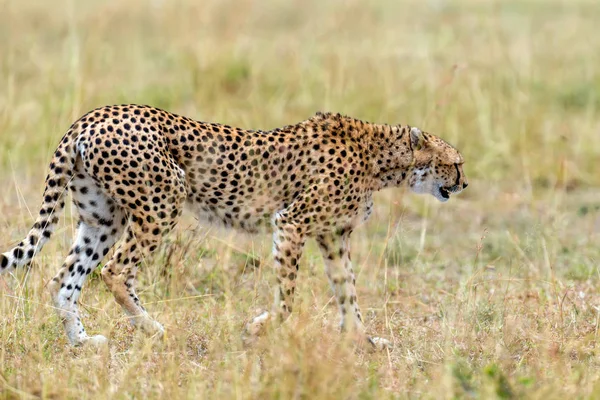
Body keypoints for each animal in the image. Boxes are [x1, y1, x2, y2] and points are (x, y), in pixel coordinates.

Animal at [0, 105, 468, 346]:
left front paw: (362, 342)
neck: (383, 159)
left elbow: (348, 293)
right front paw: (261, 327)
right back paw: (153, 328)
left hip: (103, 216)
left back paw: (81, 341)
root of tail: (95, 113)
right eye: (456, 162)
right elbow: (288, 297)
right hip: (164, 198)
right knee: (114, 270)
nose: (464, 183)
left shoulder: (333, 236)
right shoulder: (292, 222)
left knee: (63, 277)